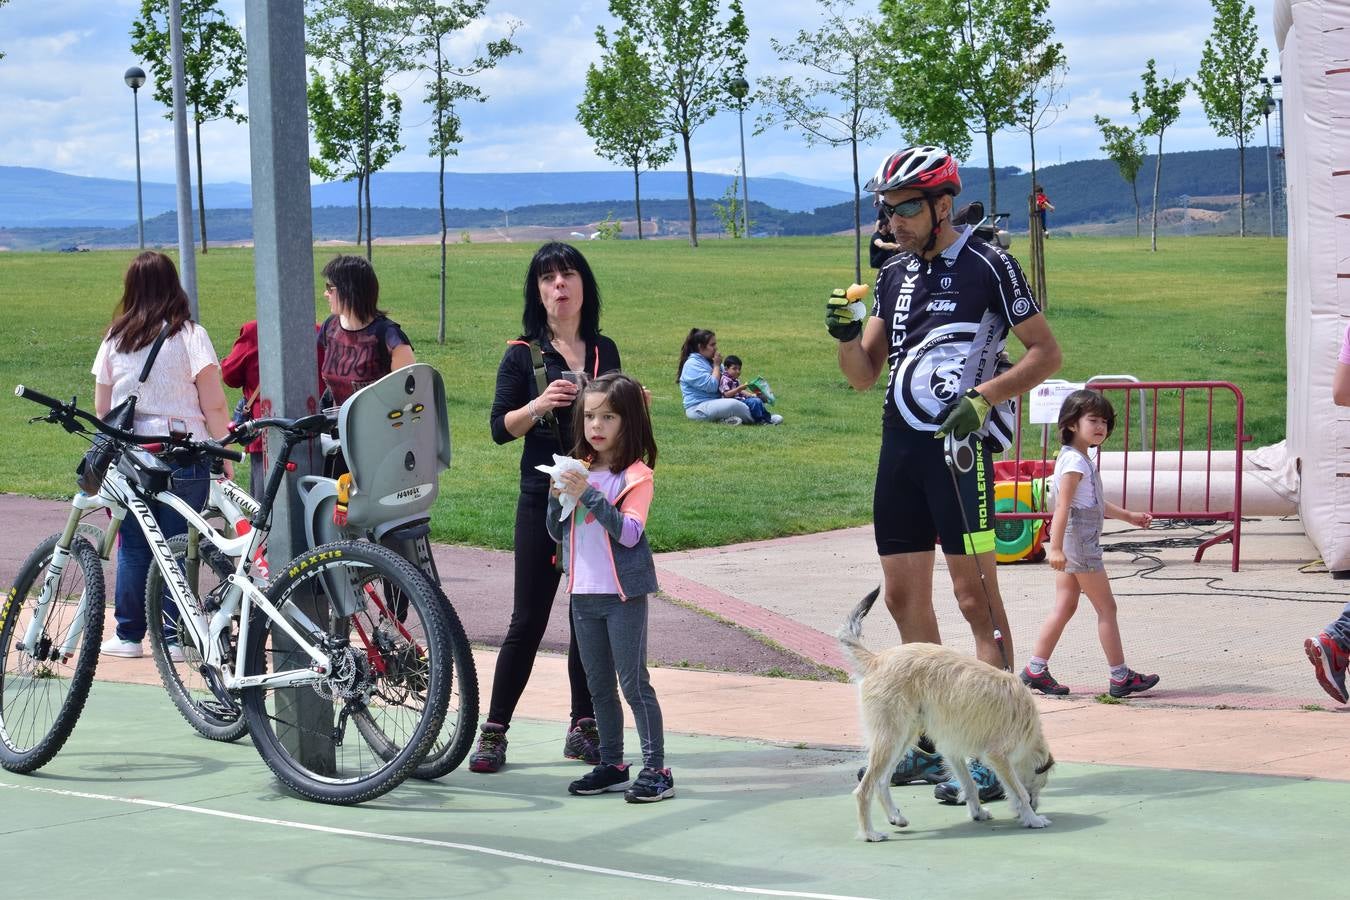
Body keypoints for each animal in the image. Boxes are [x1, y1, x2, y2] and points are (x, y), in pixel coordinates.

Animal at [842, 588, 1053, 841]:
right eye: (1040, 783)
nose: (1036, 805)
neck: (1029, 730)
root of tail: (876, 659)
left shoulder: (953, 751)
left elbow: (969, 784)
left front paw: (977, 812)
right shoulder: (998, 756)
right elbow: (1018, 790)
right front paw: (1032, 818)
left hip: (902, 738)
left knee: (882, 782)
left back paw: (895, 816)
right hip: (890, 739)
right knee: (863, 790)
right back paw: (869, 833)